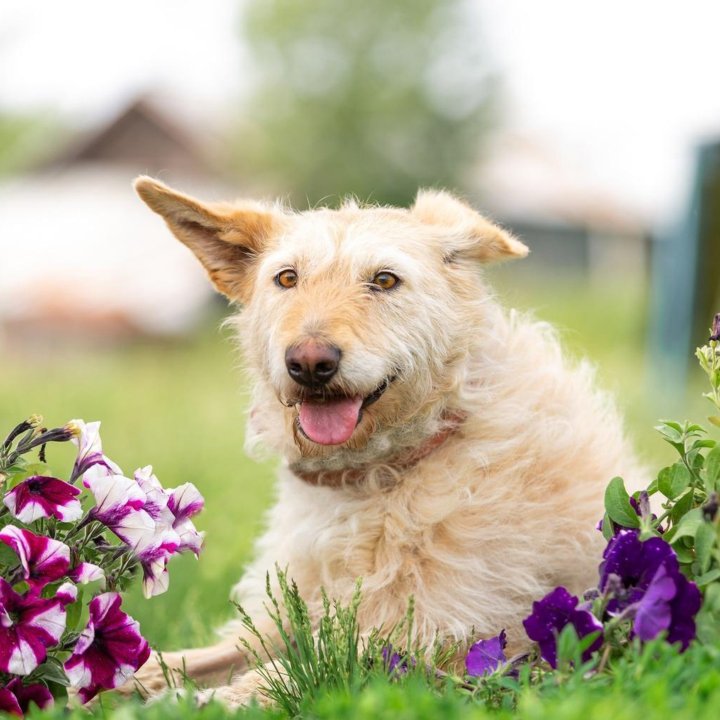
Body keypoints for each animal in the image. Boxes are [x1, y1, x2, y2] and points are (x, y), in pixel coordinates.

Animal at [132, 177, 644, 704]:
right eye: (287, 279)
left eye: (384, 280)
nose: (309, 362)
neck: (376, 472)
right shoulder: (286, 620)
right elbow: (200, 659)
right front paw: (133, 677)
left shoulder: (422, 636)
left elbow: (287, 673)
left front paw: (201, 701)